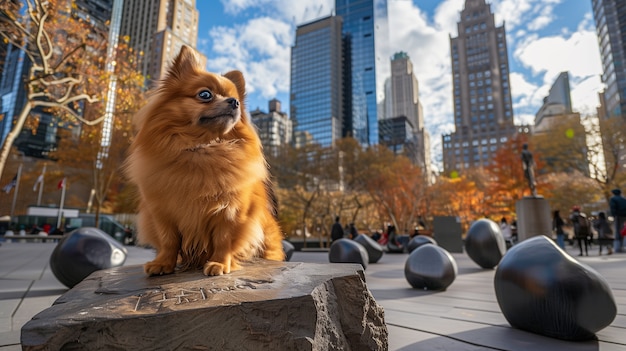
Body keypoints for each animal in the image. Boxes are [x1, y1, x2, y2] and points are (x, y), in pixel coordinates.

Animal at [124, 45, 282, 276]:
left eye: (234, 98)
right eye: (205, 94)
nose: (234, 102)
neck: (202, 149)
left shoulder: (229, 213)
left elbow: (223, 240)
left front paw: (219, 264)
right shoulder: (163, 214)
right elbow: (169, 241)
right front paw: (163, 263)